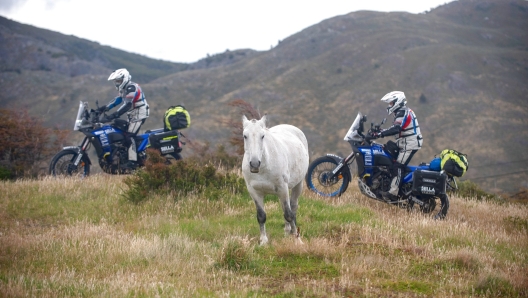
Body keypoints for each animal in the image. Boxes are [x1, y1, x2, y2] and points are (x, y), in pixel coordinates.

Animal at [240, 114, 308, 244]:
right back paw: (287, 231)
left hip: (298, 185)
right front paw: (263, 241)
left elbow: (289, 214)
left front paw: (298, 240)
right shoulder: (254, 191)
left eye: (262, 136)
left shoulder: (282, 188)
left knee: (293, 207)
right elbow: (261, 216)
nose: (254, 164)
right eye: (245, 136)